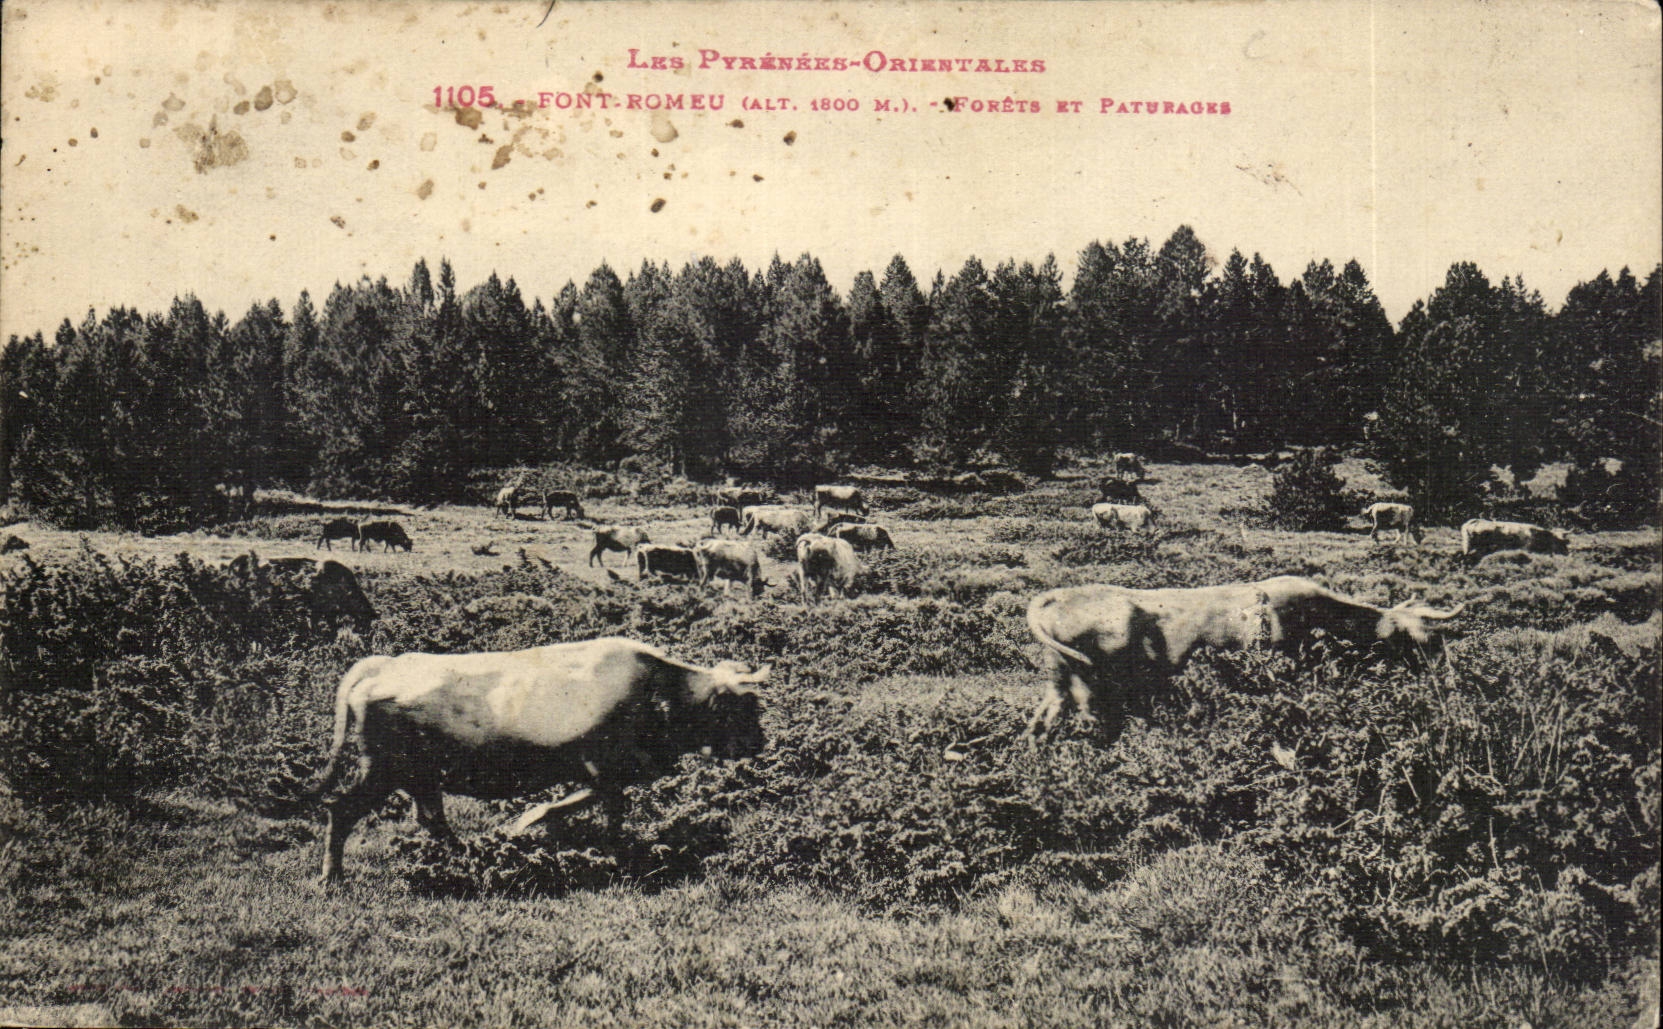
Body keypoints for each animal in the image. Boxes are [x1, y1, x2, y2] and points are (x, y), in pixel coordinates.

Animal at [310, 636, 768, 882]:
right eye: (739, 708)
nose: (759, 743)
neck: (657, 693)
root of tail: (385, 664)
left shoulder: (601, 774)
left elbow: (569, 805)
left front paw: (525, 825)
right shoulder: (605, 768)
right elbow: (608, 812)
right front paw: (610, 851)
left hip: (419, 774)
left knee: (430, 817)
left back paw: (472, 854)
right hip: (386, 768)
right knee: (342, 808)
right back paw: (332, 876)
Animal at [1025, 576, 1468, 742]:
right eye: (1422, 639)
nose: (1446, 678)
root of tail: (1056, 595)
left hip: (1059, 682)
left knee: (1039, 723)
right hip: (1088, 687)